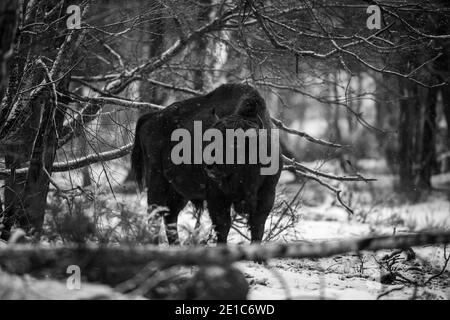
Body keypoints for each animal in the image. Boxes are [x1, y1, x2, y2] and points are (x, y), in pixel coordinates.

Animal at [130, 84, 280, 244]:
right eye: (213, 137)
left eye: (235, 143)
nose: (209, 166)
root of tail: (151, 118)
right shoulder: (217, 197)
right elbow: (223, 226)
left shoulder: (267, 196)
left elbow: (258, 229)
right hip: (156, 182)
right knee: (155, 216)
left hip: (178, 191)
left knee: (170, 217)